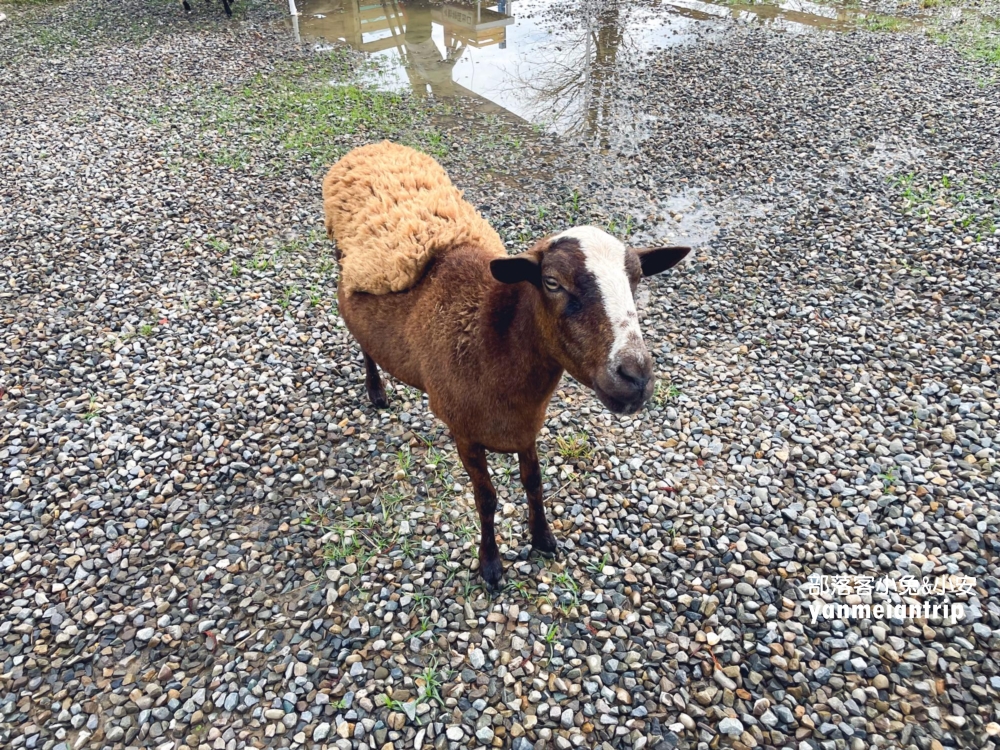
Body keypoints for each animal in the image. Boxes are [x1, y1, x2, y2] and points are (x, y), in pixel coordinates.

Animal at [324, 138, 692, 592]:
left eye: (637, 280)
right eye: (551, 282)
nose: (636, 376)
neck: (489, 340)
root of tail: (374, 146)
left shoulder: (525, 425)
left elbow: (533, 482)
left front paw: (543, 539)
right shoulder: (463, 431)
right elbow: (487, 499)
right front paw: (491, 563)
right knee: (357, 332)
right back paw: (376, 390)